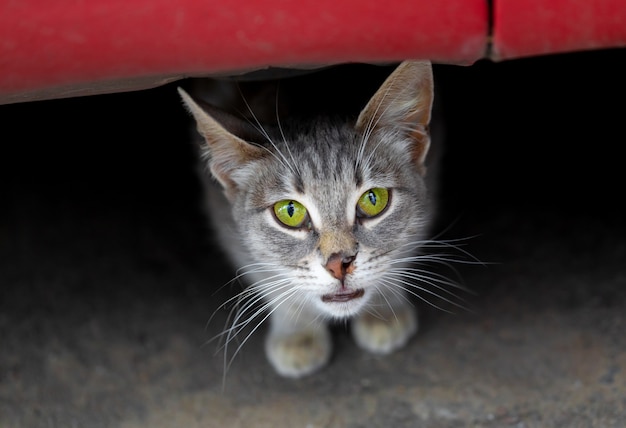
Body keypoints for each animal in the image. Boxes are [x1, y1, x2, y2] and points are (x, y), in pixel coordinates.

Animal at [178, 61, 436, 378]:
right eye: (290, 211)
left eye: (373, 199)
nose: (339, 264)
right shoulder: (224, 219)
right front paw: (296, 330)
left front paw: (384, 307)